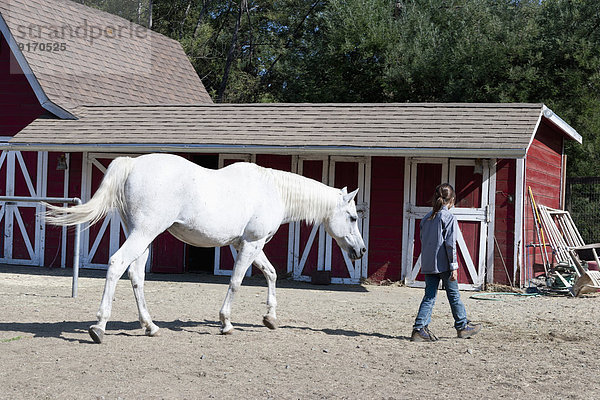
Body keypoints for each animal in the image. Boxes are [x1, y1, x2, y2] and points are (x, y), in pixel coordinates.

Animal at [44, 153, 366, 344]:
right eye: (352, 217)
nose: (361, 251)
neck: (272, 190)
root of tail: (133, 164)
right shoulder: (251, 244)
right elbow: (236, 282)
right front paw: (226, 322)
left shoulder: (247, 244)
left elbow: (271, 274)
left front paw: (270, 318)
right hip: (143, 233)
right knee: (116, 264)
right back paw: (99, 327)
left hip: (142, 236)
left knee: (136, 275)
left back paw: (150, 326)